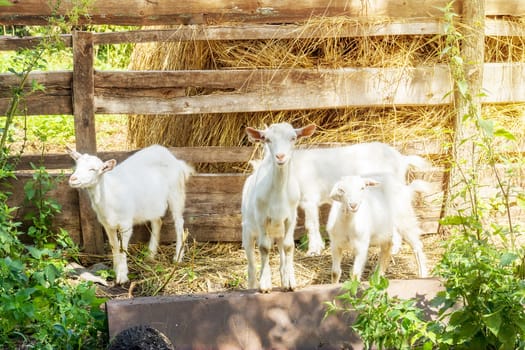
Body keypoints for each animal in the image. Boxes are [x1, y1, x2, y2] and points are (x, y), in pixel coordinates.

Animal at [66, 145, 193, 284]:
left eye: (93, 169)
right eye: (77, 166)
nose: (73, 179)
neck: (109, 195)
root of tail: (174, 159)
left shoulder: (126, 224)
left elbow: (123, 249)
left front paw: (122, 276)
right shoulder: (107, 225)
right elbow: (114, 246)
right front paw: (115, 269)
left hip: (176, 192)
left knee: (179, 222)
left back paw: (178, 257)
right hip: (153, 202)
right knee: (157, 222)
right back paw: (150, 254)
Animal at [242, 121, 316, 292]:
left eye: (293, 138)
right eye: (267, 139)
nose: (280, 156)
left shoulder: (290, 218)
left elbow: (289, 247)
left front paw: (291, 283)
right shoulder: (262, 217)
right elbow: (264, 248)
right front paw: (265, 285)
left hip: (279, 231)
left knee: (282, 252)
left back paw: (284, 279)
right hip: (247, 231)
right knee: (251, 263)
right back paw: (253, 284)